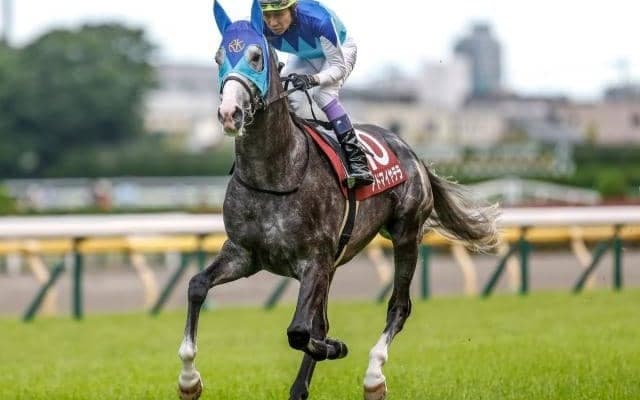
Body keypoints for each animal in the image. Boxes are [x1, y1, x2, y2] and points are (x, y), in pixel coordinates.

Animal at [177, 1, 499, 399]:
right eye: (219, 56)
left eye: (256, 57)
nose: (229, 113)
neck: (275, 172)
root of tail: (412, 153)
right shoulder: (245, 254)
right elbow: (197, 286)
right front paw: (189, 379)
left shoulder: (314, 261)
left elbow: (300, 331)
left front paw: (336, 348)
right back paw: (302, 386)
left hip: (406, 235)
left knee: (398, 306)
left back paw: (374, 376)